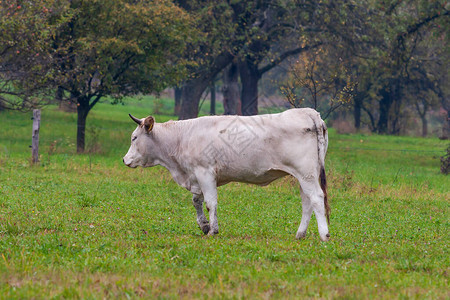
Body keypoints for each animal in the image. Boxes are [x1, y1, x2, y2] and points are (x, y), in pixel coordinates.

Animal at [123, 108, 330, 241]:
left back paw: (324, 235)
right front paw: (204, 225)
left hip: (306, 174)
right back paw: (300, 234)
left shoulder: (205, 172)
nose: (125, 160)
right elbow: (196, 201)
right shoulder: (196, 176)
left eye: (134, 138)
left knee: (317, 198)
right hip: (304, 176)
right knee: (307, 202)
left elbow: (210, 202)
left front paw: (212, 230)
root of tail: (308, 112)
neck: (182, 138)